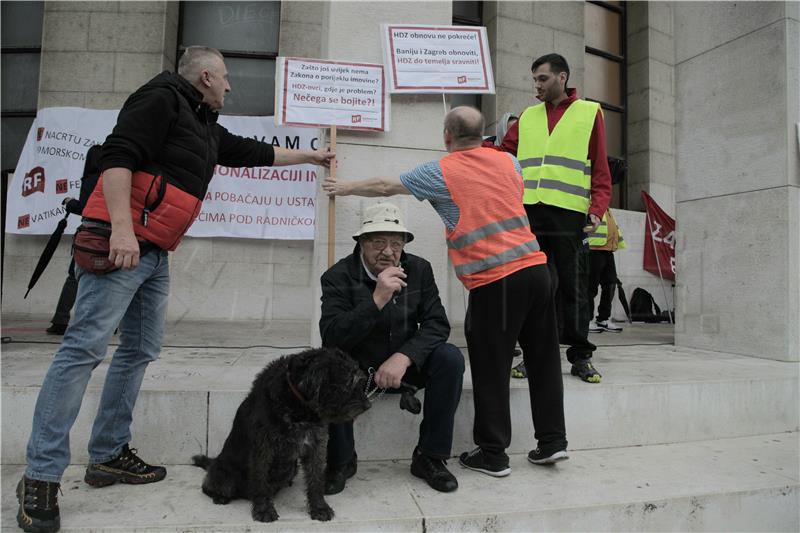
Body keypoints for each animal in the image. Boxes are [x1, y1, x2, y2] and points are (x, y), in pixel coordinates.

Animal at [192, 348, 370, 520]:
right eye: (349, 382)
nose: (367, 405)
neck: (299, 406)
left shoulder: (315, 444)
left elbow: (316, 478)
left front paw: (319, 507)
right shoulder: (263, 447)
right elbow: (261, 479)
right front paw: (263, 510)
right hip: (223, 476)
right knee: (208, 486)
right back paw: (220, 497)